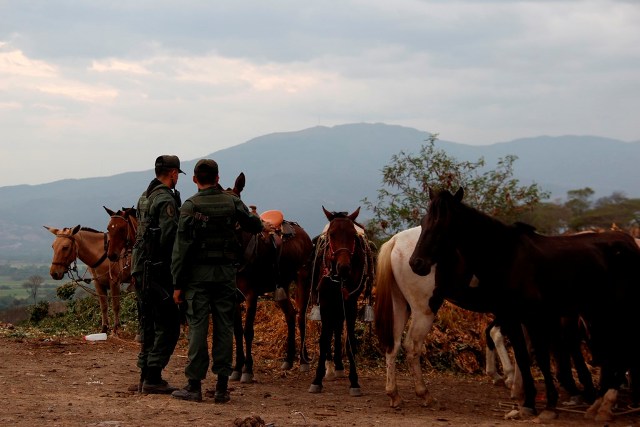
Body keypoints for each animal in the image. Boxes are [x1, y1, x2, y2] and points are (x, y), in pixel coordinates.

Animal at [306, 207, 376, 398]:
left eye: (352, 234)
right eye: (332, 234)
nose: (344, 267)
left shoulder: (350, 302)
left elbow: (350, 341)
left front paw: (354, 381)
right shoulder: (324, 301)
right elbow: (324, 339)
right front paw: (317, 380)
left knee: (337, 328)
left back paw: (338, 366)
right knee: (331, 329)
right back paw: (330, 367)